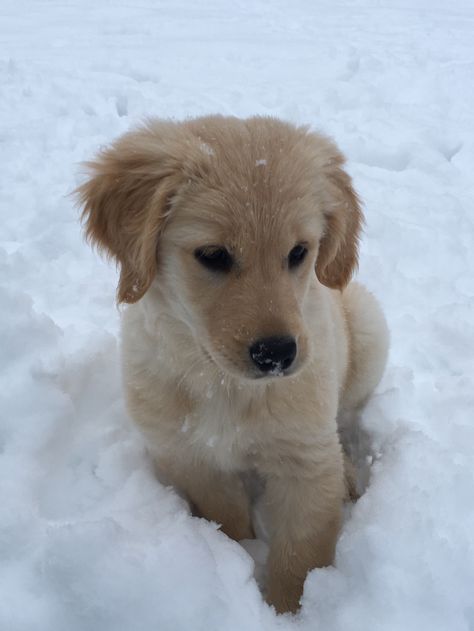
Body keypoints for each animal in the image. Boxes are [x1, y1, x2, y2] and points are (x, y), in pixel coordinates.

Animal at [77, 116, 388, 616]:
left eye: (299, 252)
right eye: (213, 255)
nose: (277, 354)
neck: (220, 383)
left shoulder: (303, 459)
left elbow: (301, 555)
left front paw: (288, 611)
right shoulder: (189, 457)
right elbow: (227, 518)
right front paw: (237, 558)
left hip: (367, 326)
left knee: (345, 419)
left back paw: (347, 474)